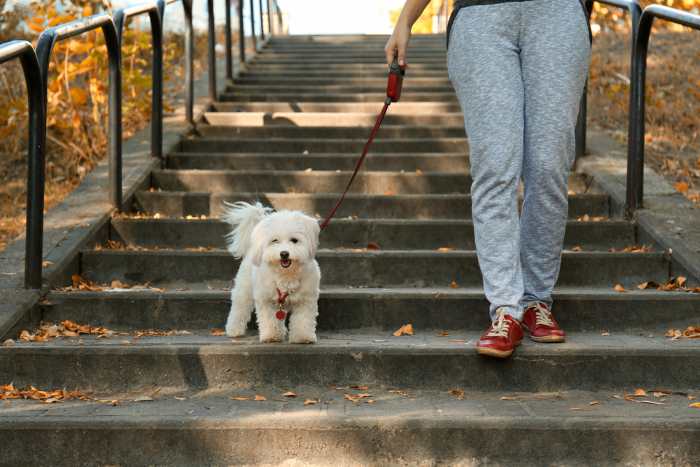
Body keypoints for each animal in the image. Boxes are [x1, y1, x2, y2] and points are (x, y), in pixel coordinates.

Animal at [223, 201, 322, 344]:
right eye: (275, 240)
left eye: (294, 240)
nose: (284, 253)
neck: (286, 274)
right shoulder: (266, 299)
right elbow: (269, 319)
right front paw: (271, 336)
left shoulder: (306, 299)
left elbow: (303, 320)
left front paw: (303, 337)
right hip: (244, 287)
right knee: (239, 307)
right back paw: (234, 330)